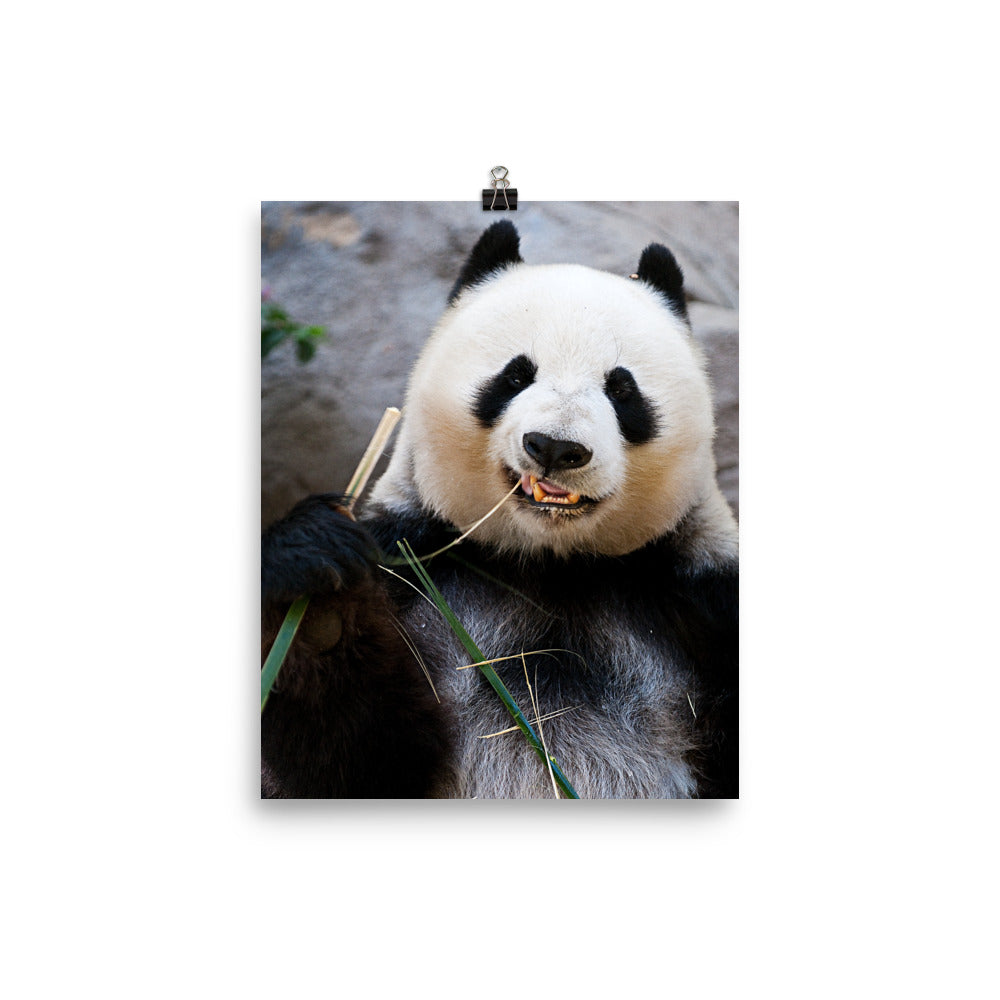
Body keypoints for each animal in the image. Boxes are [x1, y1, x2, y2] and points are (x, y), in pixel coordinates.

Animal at [261, 220, 738, 799]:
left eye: (622, 389)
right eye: (514, 377)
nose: (555, 446)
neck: (551, 566)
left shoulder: (700, 601)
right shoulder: (414, 567)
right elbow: (354, 763)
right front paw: (318, 603)